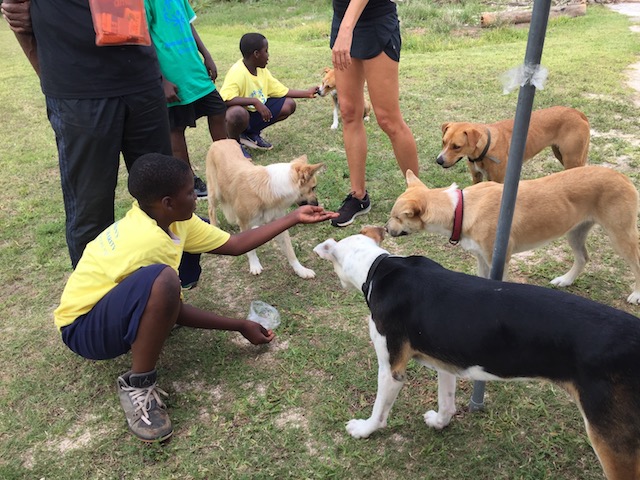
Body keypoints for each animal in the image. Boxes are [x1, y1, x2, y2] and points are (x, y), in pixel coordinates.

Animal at [206, 139, 324, 280]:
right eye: (314, 187)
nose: (317, 204)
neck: (271, 189)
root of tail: (220, 141)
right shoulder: (244, 223)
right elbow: (250, 249)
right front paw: (254, 265)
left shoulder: (279, 223)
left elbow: (290, 251)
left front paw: (301, 270)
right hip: (215, 192)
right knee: (211, 209)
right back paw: (214, 227)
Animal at [312, 226, 640, 480]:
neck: (379, 267)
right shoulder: (445, 362)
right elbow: (446, 403)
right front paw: (440, 422)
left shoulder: (392, 369)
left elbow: (379, 411)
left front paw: (364, 429)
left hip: (611, 442)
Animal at [384, 166, 640, 304]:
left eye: (397, 217)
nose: (386, 229)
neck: (461, 208)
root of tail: (622, 176)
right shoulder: (480, 257)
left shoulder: (500, 259)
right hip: (575, 232)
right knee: (583, 258)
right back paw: (565, 280)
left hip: (620, 235)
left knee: (636, 263)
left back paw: (636, 295)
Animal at [436, 107, 592, 184]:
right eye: (443, 142)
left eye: (457, 146)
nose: (439, 161)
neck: (484, 150)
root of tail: (577, 113)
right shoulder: (476, 177)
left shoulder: (498, 180)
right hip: (560, 154)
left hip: (571, 158)